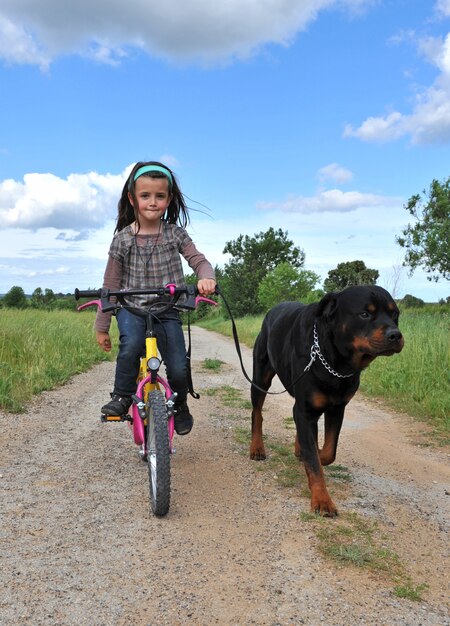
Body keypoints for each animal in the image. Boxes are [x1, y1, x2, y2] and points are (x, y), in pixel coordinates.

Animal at [250, 286, 404, 516]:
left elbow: (328, 452)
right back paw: (257, 448)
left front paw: (312, 455)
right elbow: (314, 461)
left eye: (395, 315)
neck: (335, 361)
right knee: (257, 413)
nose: (395, 334)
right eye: (364, 314)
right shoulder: (305, 410)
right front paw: (322, 500)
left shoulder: (337, 408)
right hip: (261, 377)